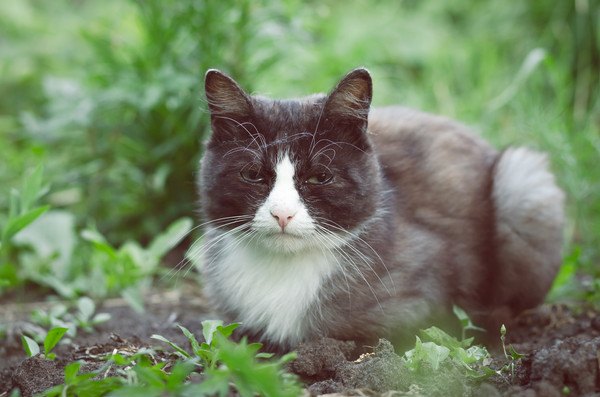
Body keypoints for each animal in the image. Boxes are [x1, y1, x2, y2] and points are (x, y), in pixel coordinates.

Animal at [196, 67, 564, 350]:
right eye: (252, 175)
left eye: (320, 177)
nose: (282, 214)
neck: (284, 267)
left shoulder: (423, 299)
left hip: (522, 180)